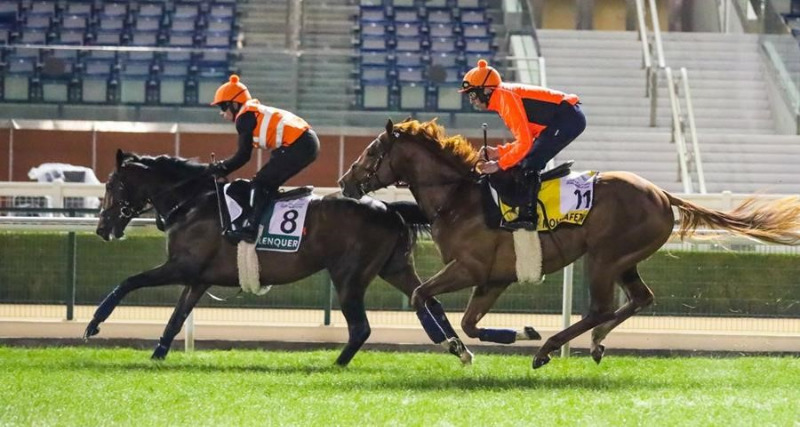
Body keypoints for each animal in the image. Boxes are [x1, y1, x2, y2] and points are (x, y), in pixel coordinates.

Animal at [86, 149, 472, 366]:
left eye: (111, 185)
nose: (102, 228)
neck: (192, 203)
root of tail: (389, 208)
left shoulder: (182, 267)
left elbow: (128, 282)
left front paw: (94, 325)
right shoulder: (198, 279)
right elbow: (175, 319)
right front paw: (157, 356)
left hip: (349, 276)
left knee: (361, 327)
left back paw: (335, 365)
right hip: (394, 267)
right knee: (428, 301)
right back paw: (459, 349)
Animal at [339, 118, 800, 369]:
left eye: (372, 151)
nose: (345, 181)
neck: (458, 198)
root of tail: (662, 194)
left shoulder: (469, 268)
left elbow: (421, 295)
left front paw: (458, 348)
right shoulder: (494, 278)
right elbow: (469, 321)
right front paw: (512, 333)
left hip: (604, 256)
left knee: (602, 306)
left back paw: (549, 348)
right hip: (625, 259)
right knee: (640, 298)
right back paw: (594, 343)